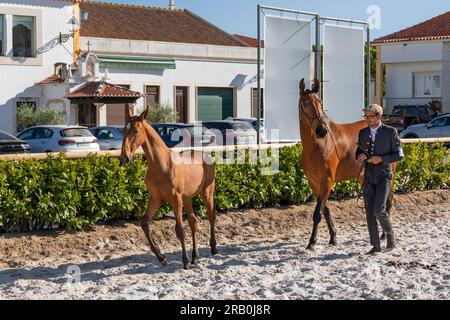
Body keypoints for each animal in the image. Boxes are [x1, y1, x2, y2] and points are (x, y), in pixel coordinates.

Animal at [119, 106, 218, 268]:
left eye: (135, 131)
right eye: (123, 130)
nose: (124, 158)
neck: (162, 165)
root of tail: (205, 155)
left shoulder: (175, 199)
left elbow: (179, 229)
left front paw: (184, 261)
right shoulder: (155, 199)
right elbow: (144, 222)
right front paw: (161, 257)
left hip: (207, 192)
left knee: (211, 215)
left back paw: (213, 247)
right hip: (187, 198)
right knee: (193, 222)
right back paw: (195, 256)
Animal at [298, 78, 394, 250]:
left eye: (320, 102)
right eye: (305, 103)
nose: (321, 130)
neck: (318, 145)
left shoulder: (327, 181)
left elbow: (317, 213)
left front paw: (312, 242)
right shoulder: (314, 183)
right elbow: (325, 210)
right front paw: (333, 237)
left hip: (389, 178)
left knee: (387, 203)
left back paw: (384, 235)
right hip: (364, 178)